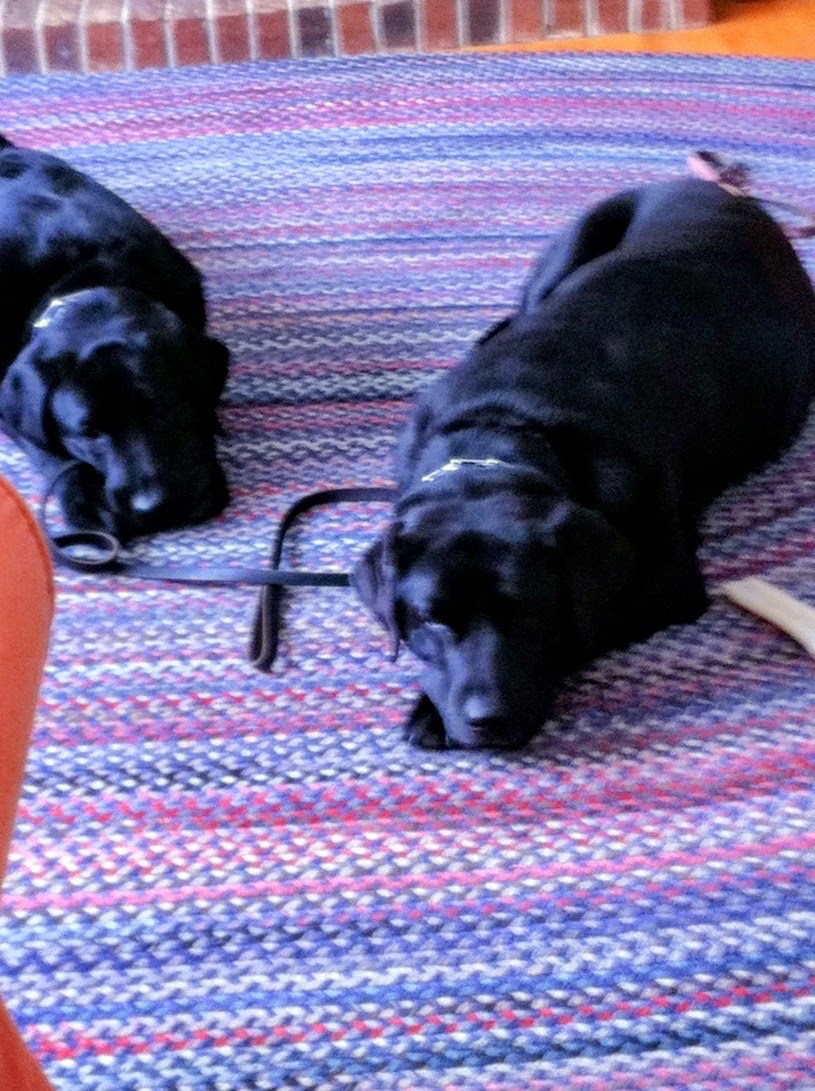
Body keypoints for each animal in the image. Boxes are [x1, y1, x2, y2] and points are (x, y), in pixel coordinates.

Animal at [353, 177, 815, 750]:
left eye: (529, 611)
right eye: (431, 621)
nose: (486, 720)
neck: (503, 427)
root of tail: (717, 186)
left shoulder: (668, 580)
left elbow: (580, 629)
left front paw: (430, 713)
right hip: (571, 246)